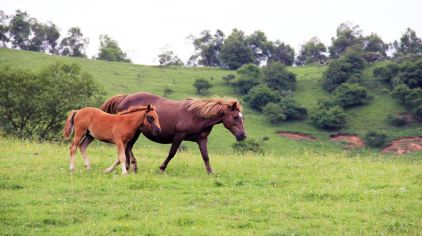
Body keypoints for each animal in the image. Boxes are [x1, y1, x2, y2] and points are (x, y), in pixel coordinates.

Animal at [99, 92, 246, 173]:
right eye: (235, 117)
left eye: (242, 117)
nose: (242, 136)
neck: (196, 115)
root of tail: (125, 97)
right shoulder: (179, 136)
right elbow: (172, 153)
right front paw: (161, 168)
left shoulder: (202, 139)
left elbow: (206, 156)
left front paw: (210, 172)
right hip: (134, 132)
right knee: (128, 147)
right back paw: (131, 166)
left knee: (128, 148)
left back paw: (131, 166)